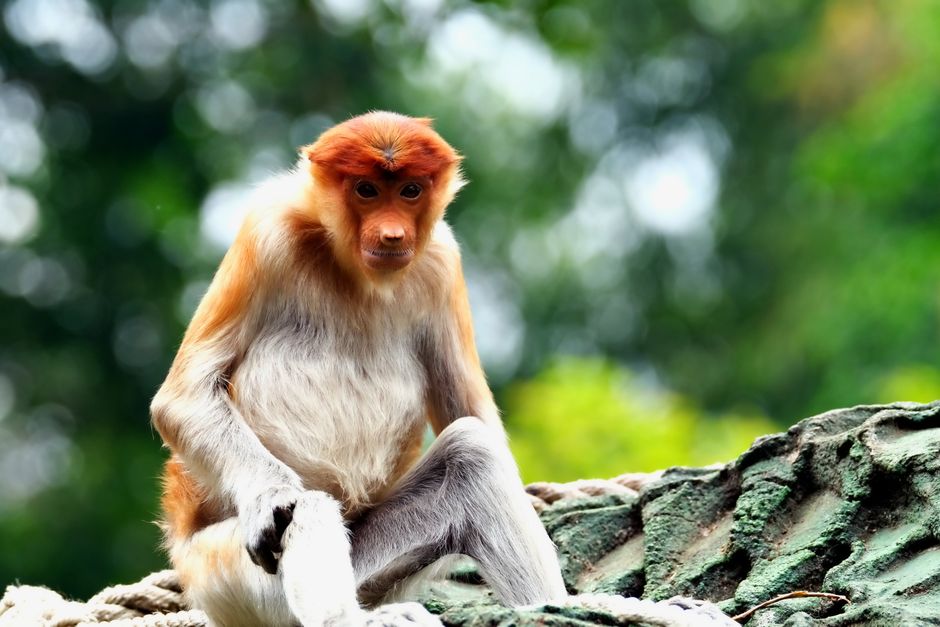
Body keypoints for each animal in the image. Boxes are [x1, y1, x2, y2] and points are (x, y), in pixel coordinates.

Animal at [150, 111, 568, 626]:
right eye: (366, 190)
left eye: (410, 191)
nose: (392, 235)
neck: (355, 273)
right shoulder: (266, 232)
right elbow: (183, 397)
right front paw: (270, 497)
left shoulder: (442, 263)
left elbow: (472, 420)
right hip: (230, 580)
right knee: (306, 507)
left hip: (370, 566)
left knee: (471, 456)